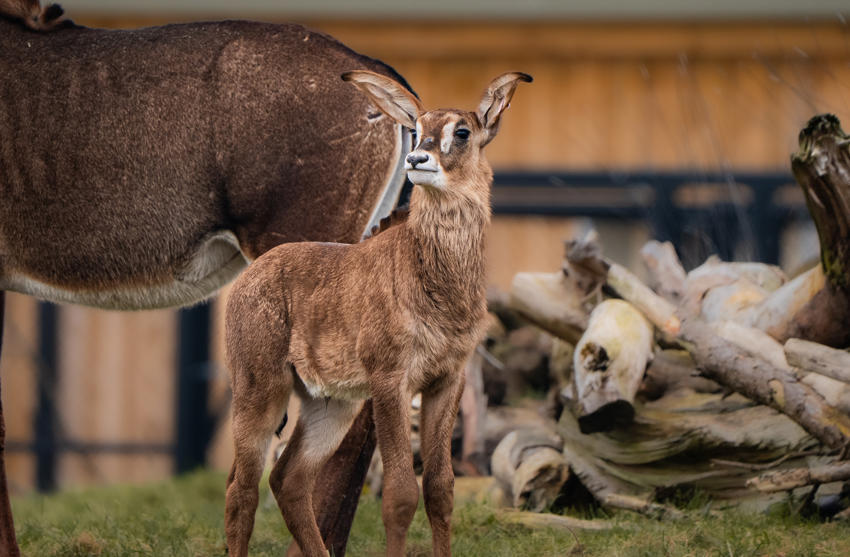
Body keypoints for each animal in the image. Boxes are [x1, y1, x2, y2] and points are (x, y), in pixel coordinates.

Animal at [224, 70, 531, 557]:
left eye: (463, 131)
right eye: (417, 127)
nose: (417, 157)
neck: (437, 284)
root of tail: (246, 279)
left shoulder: (448, 380)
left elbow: (441, 489)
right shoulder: (391, 380)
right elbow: (401, 494)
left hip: (331, 402)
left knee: (288, 479)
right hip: (260, 387)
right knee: (242, 489)